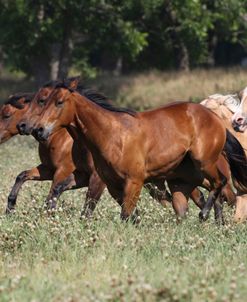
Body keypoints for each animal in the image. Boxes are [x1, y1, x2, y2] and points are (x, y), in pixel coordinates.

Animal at [29, 81, 247, 223]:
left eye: (59, 102)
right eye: (44, 101)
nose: (38, 130)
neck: (112, 135)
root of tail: (216, 119)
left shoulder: (133, 182)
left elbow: (125, 216)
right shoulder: (113, 186)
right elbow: (131, 217)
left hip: (204, 163)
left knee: (220, 183)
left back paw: (205, 216)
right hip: (183, 180)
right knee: (194, 204)